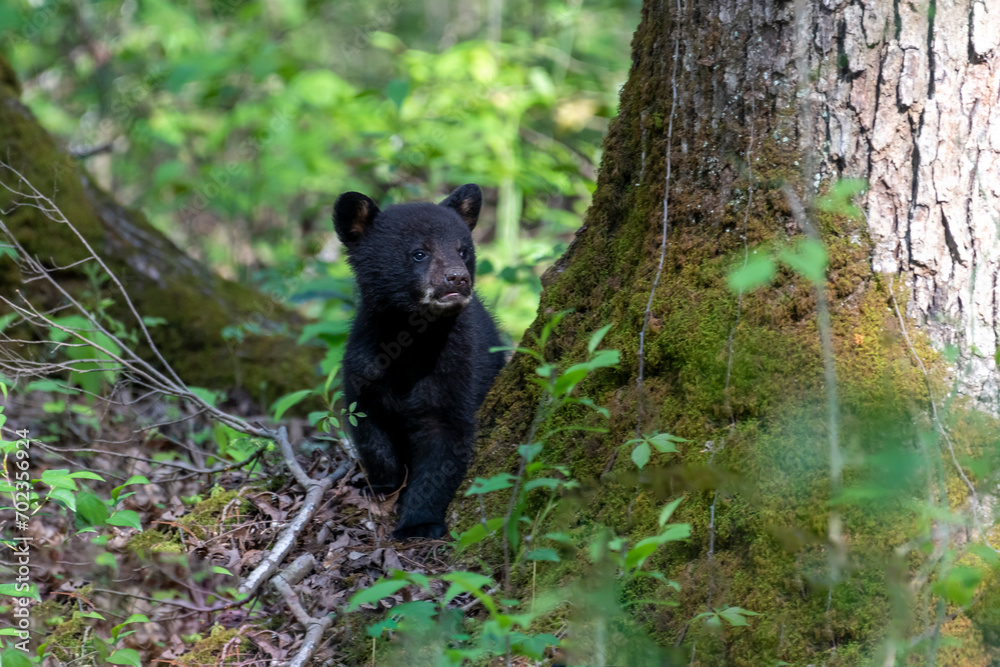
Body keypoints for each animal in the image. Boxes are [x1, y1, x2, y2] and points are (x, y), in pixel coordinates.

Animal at [333, 184, 506, 540]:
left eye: (463, 250)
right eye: (419, 253)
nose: (457, 279)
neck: (411, 341)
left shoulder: (456, 369)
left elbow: (445, 444)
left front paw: (419, 523)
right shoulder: (365, 363)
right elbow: (370, 430)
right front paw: (381, 487)